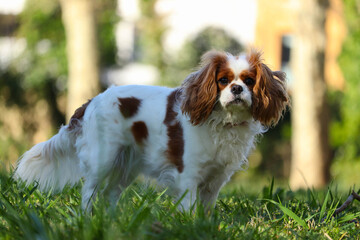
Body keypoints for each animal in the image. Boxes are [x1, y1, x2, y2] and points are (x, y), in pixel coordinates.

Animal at [14, 49, 290, 211]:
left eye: (249, 81)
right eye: (223, 80)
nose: (236, 89)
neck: (223, 122)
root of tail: (91, 102)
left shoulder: (215, 181)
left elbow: (207, 210)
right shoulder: (187, 176)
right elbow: (189, 208)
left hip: (126, 166)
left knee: (110, 193)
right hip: (102, 158)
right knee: (89, 191)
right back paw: (88, 217)